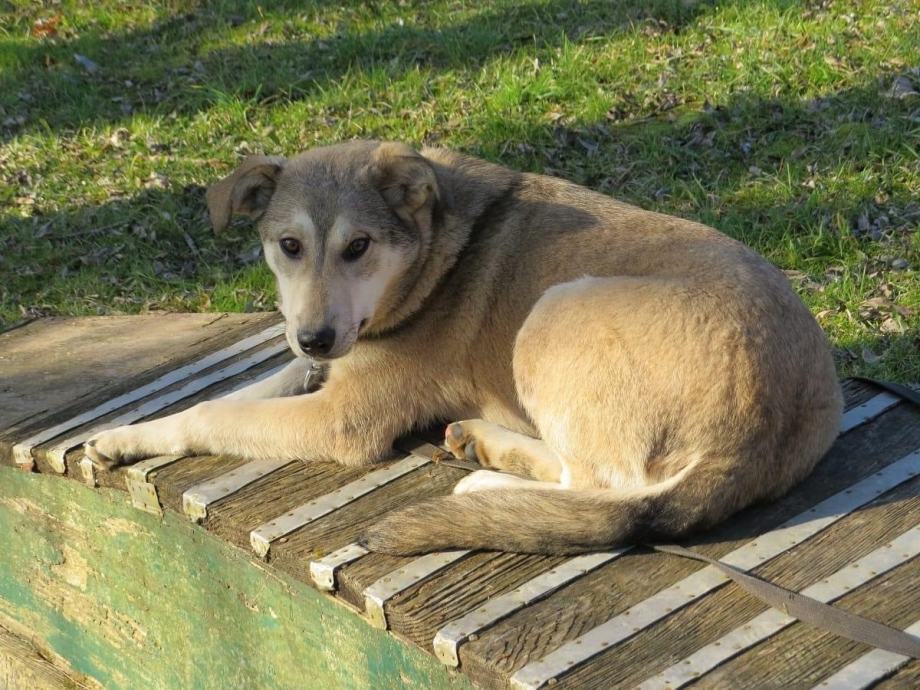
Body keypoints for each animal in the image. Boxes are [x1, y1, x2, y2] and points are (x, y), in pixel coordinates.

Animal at [85, 140, 843, 555]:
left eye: (359, 246)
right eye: (289, 245)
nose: (316, 336)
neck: (430, 257)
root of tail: (763, 431)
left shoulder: (341, 418)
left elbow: (215, 413)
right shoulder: (320, 368)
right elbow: (231, 395)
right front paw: (122, 436)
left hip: (553, 312)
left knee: (606, 487)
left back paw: (490, 480)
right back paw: (487, 445)